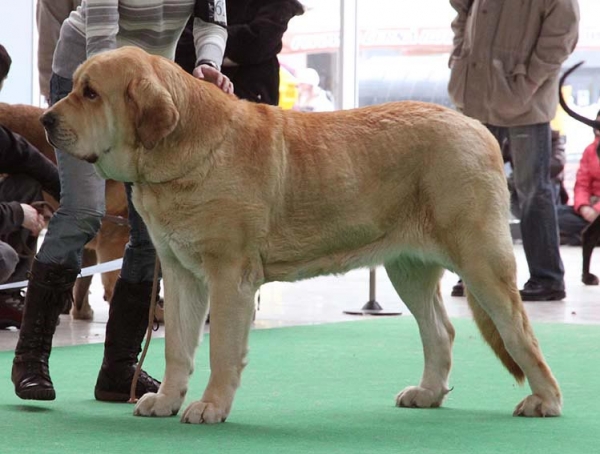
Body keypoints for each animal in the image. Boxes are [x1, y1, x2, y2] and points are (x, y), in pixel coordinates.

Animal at [42, 46, 564, 422]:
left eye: (91, 93)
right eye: (77, 88)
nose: (47, 119)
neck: (182, 149)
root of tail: (479, 128)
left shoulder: (229, 275)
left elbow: (221, 348)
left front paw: (210, 406)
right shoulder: (180, 273)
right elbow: (178, 347)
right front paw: (167, 401)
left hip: (481, 260)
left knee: (519, 333)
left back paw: (545, 401)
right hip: (409, 269)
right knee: (440, 329)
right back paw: (428, 393)